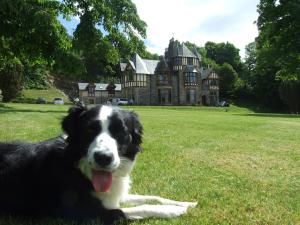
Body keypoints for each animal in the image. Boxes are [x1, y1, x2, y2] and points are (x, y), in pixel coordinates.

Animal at [0, 104, 197, 224]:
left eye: (121, 132)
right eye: (89, 130)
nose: (103, 157)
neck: (78, 168)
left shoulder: (114, 195)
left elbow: (152, 197)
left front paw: (185, 203)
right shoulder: (84, 212)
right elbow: (138, 208)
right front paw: (173, 210)